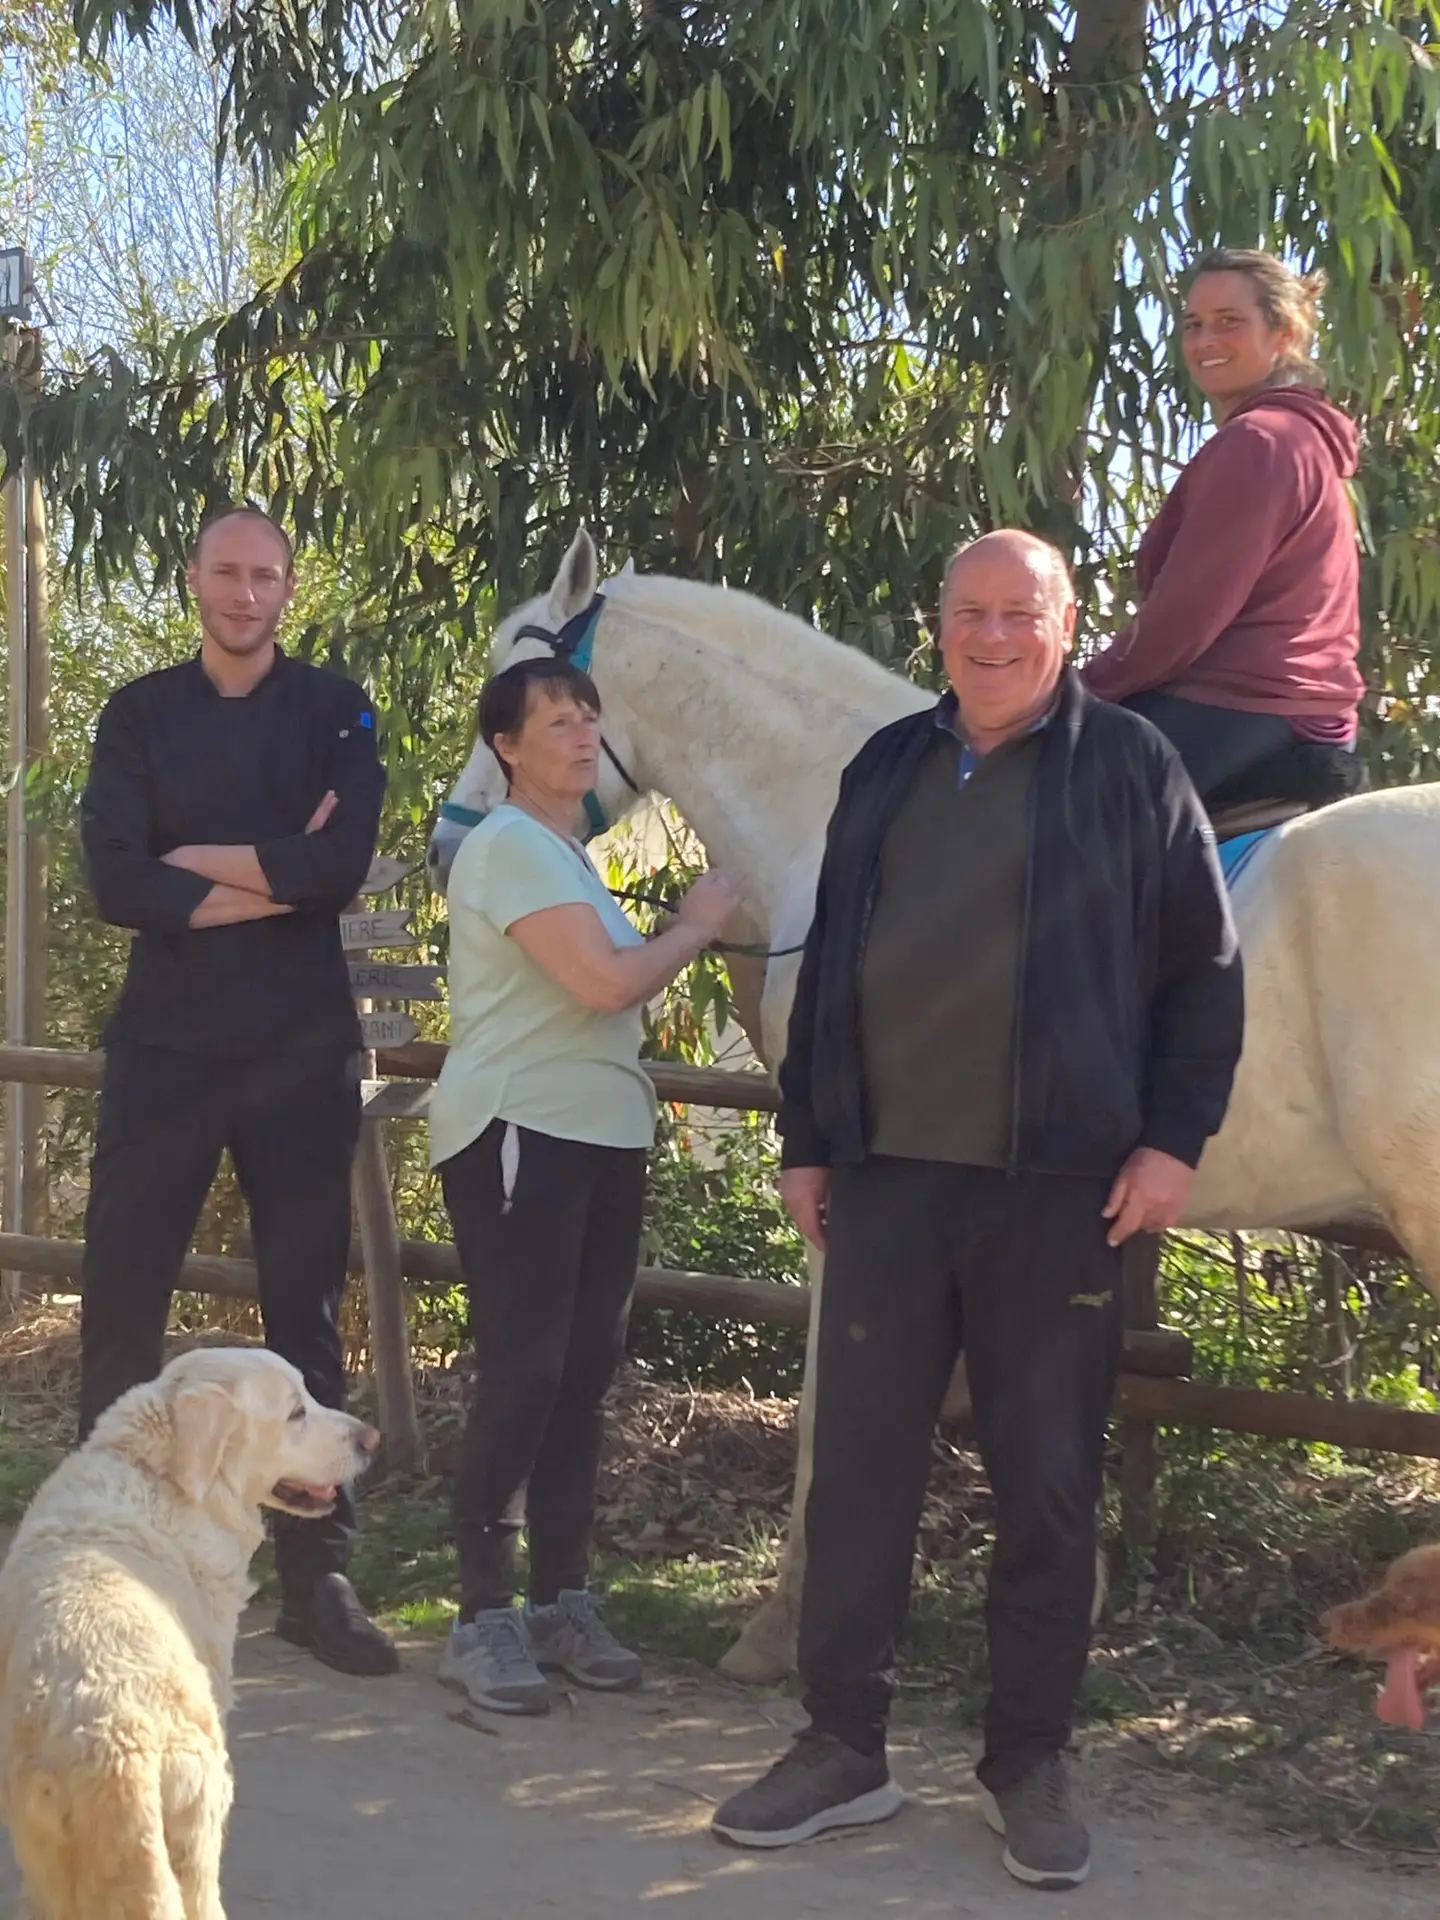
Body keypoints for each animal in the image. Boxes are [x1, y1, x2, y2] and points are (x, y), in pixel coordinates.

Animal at [0, 1347, 379, 1919]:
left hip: (46, 1842)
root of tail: (116, 1746)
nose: (370, 1439)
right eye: (297, 1412)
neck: (159, 1476)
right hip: (202, 1808)